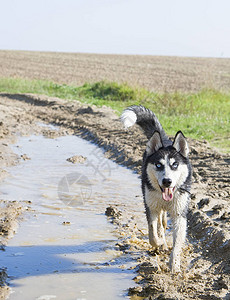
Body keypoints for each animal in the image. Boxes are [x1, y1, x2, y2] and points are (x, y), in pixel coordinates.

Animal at [121, 105, 193, 272]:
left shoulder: (180, 214)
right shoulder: (151, 207)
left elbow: (177, 243)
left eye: (175, 165)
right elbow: (152, 234)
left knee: (163, 222)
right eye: (159, 165)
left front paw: (174, 265)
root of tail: (164, 140)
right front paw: (160, 243)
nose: (167, 181)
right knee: (159, 224)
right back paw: (162, 242)